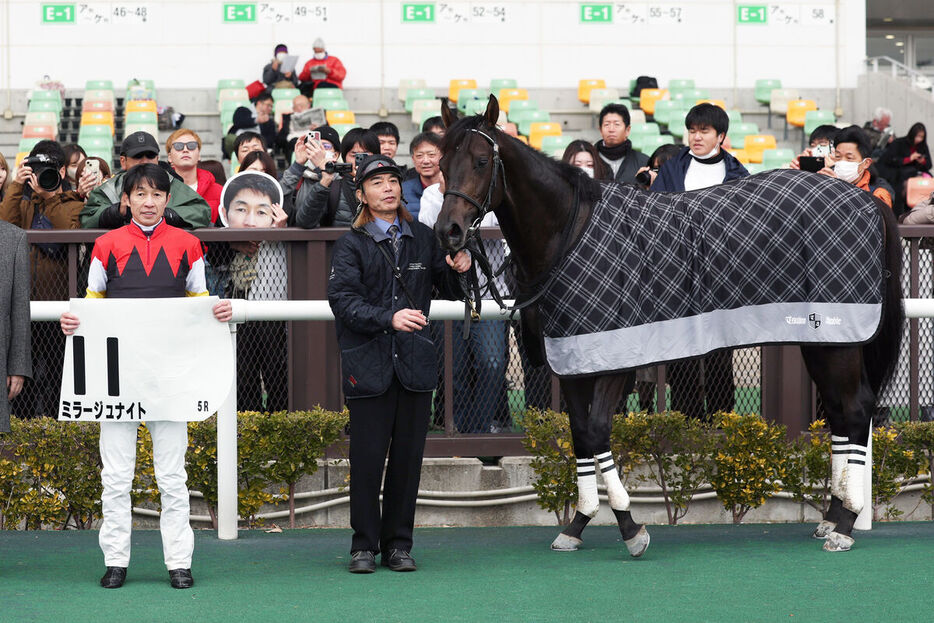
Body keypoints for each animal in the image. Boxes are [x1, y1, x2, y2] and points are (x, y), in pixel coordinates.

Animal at [436, 95, 908, 552]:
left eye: (482, 160)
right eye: (441, 163)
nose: (449, 231)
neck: (572, 233)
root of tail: (865, 199)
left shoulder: (615, 356)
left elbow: (598, 431)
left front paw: (630, 526)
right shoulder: (570, 358)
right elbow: (581, 435)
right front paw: (577, 524)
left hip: (838, 337)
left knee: (856, 408)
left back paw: (846, 523)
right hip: (821, 339)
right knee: (840, 413)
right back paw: (832, 516)